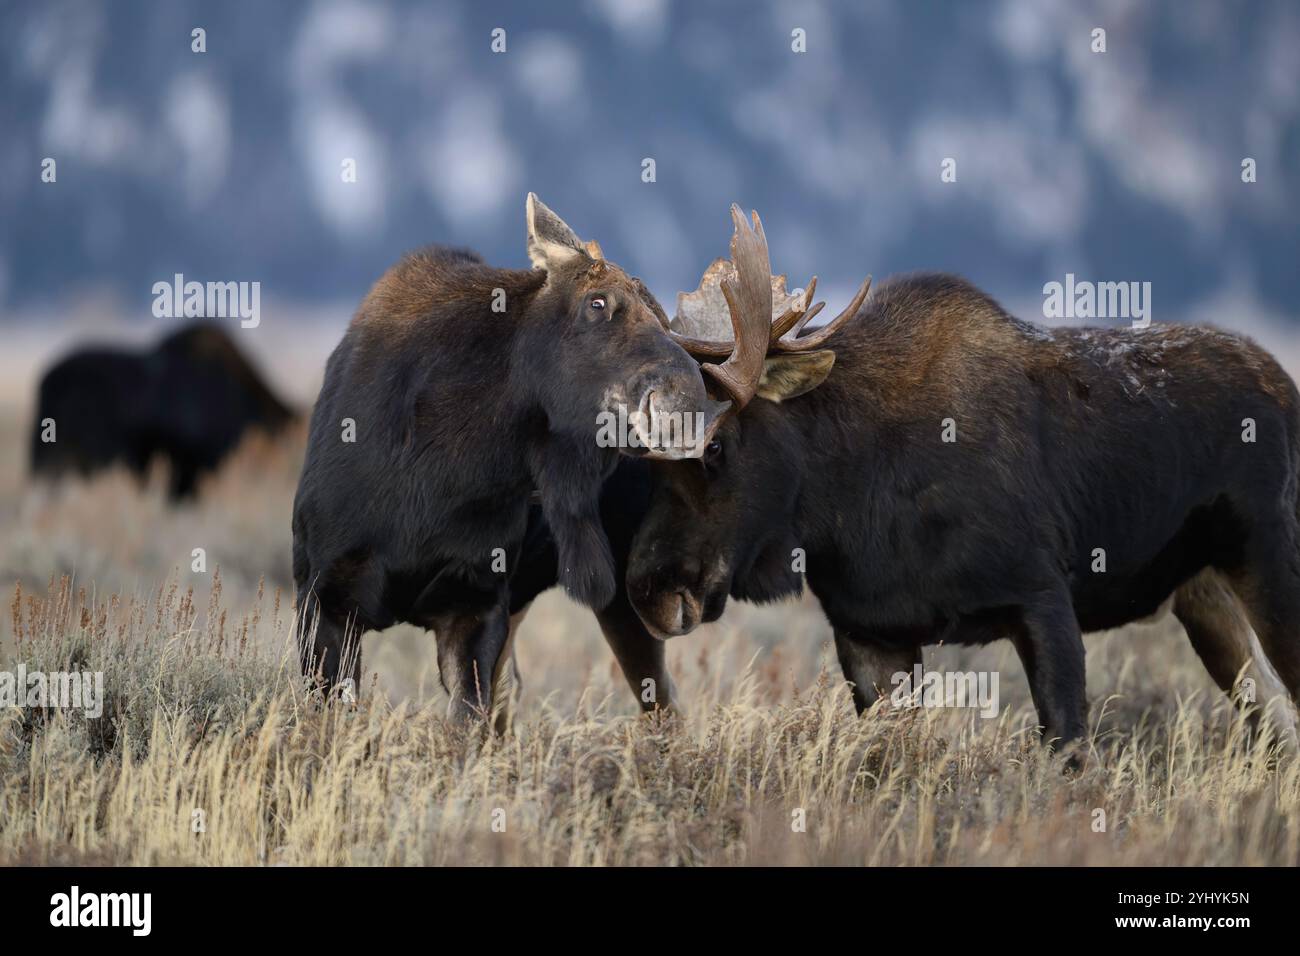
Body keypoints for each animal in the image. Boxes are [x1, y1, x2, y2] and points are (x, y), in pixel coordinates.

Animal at [291, 194, 726, 723]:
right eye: (596, 302)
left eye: (665, 321)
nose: (687, 401)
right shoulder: (324, 595)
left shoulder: (476, 604)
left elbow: (468, 722)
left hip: (637, 594)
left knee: (663, 703)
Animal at [625, 205, 1300, 754]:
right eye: (646, 460)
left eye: (715, 446)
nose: (646, 590)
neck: (848, 502)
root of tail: (1285, 386)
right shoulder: (870, 633)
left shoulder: (1043, 597)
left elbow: (1068, 753)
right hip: (1205, 596)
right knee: (1275, 724)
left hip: (1269, 559)